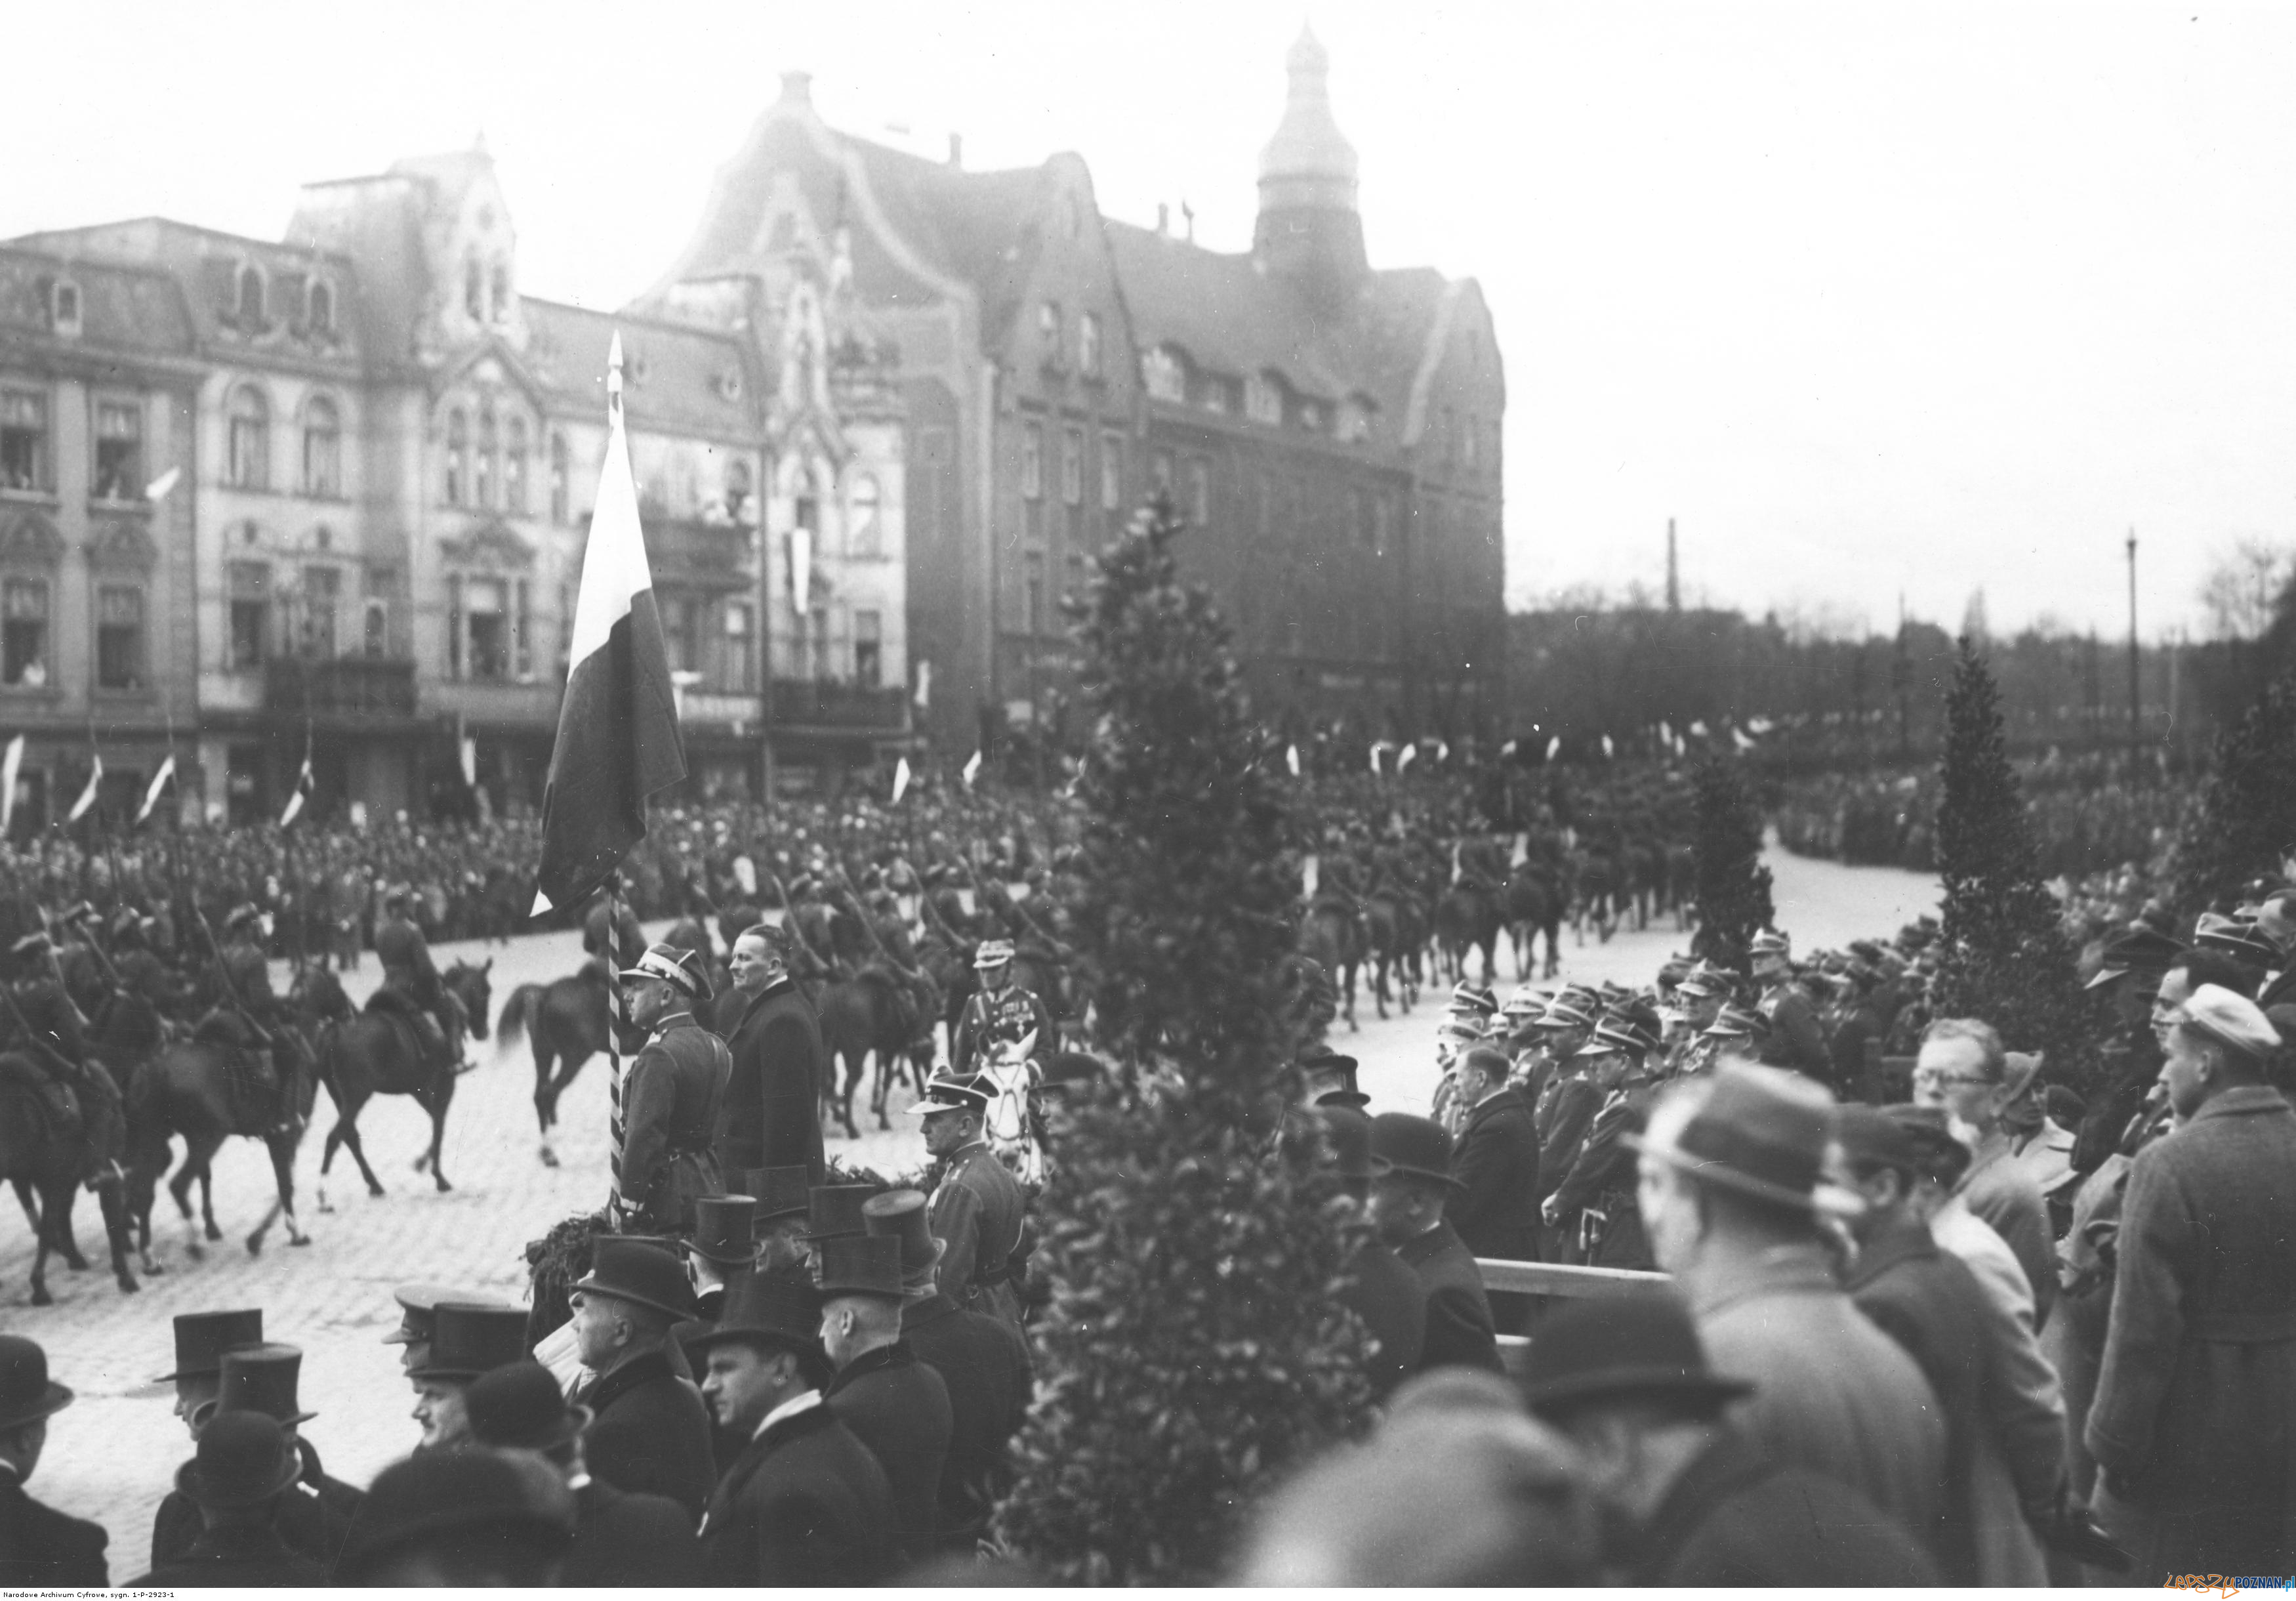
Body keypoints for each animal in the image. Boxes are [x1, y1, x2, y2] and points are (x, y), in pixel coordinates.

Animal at [0, 1056, 138, 1304]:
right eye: (111, 1106)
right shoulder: (60, 1180)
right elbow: (51, 1227)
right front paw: (40, 1287)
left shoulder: (59, 1180)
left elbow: (56, 1220)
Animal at [312, 955, 491, 1203]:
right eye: (487, 991)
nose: (484, 1031)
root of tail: (336, 1030)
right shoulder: (445, 1084)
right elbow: (439, 1125)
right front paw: (436, 1174)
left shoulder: (419, 1089)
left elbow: (436, 1121)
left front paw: (426, 1166)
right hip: (357, 1096)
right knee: (335, 1137)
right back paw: (323, 1194)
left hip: (340, 1098)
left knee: (350, 1137)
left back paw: (375, 1185)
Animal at [498, 969, 643, 1167]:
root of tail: (546, 992)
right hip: (574, 1058)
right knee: (547, 1094)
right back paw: (550, 1153)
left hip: (544, 1054)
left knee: (540, 1095)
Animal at [817, 960, 941, 1134]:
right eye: (929, 986)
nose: (939, 1002)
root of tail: (836, 995)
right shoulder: (890, 1049)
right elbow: (887, 1080)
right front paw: (883, 1120)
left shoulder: (882, 1049)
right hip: (857, 1052)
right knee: (849, 1083)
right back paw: (851, 1128)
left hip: (829, 1048)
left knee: (825, 1080)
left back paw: (824, 1121)